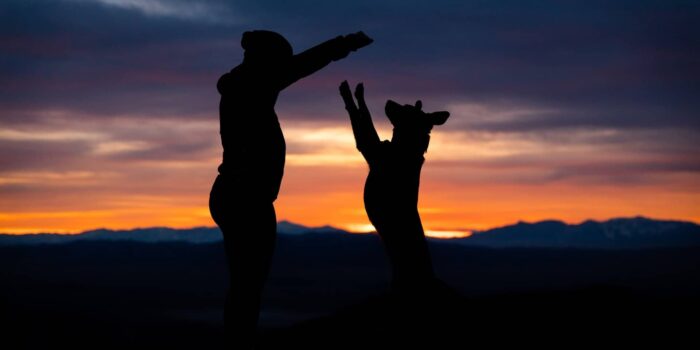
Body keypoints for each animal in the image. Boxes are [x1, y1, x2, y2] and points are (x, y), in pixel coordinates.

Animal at [338, 80, 448, 294]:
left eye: (404, 109)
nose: (389, 101)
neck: (405, 148)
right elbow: (362, 114)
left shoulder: (369, 146)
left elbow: (360, 114)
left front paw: (351, 91)